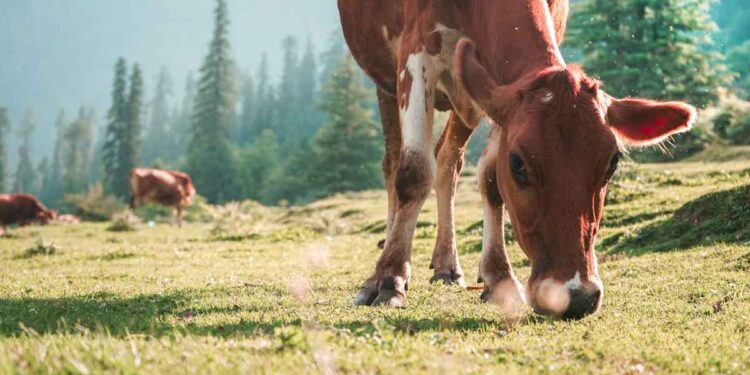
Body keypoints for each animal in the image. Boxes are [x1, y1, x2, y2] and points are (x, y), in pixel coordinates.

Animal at [338, 0, 696, 320]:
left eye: (612, 163)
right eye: (518, 164)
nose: (576, 296)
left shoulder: (496, 88)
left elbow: (490, 180)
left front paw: (499, 277)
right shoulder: (416, 54)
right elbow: (414, 172)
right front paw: (389, 278)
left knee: (448, 161)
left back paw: (447, 265)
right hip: (384, 77)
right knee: (394, 164)